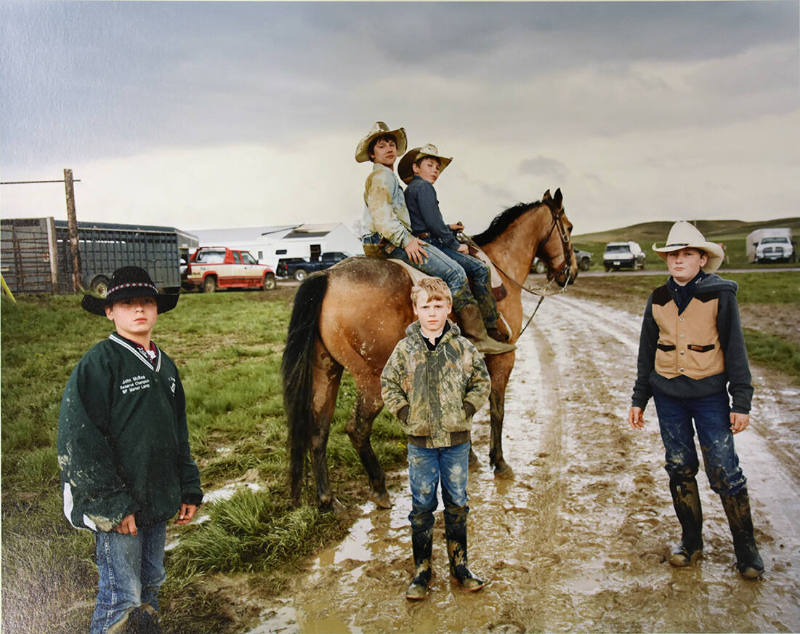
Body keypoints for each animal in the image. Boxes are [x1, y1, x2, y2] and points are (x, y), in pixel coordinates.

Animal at [282, 188, 576, 508]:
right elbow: (497, 410)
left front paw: (469, 458)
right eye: (569, 228)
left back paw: (327, 500)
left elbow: (462, 412)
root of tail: (327, 277)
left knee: (318, 428)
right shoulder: (504, 357)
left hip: (326, 370)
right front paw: (498, 463)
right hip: (372, 380)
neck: (501, 267)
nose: (571, 272)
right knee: (356, 429)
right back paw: (379, 488)